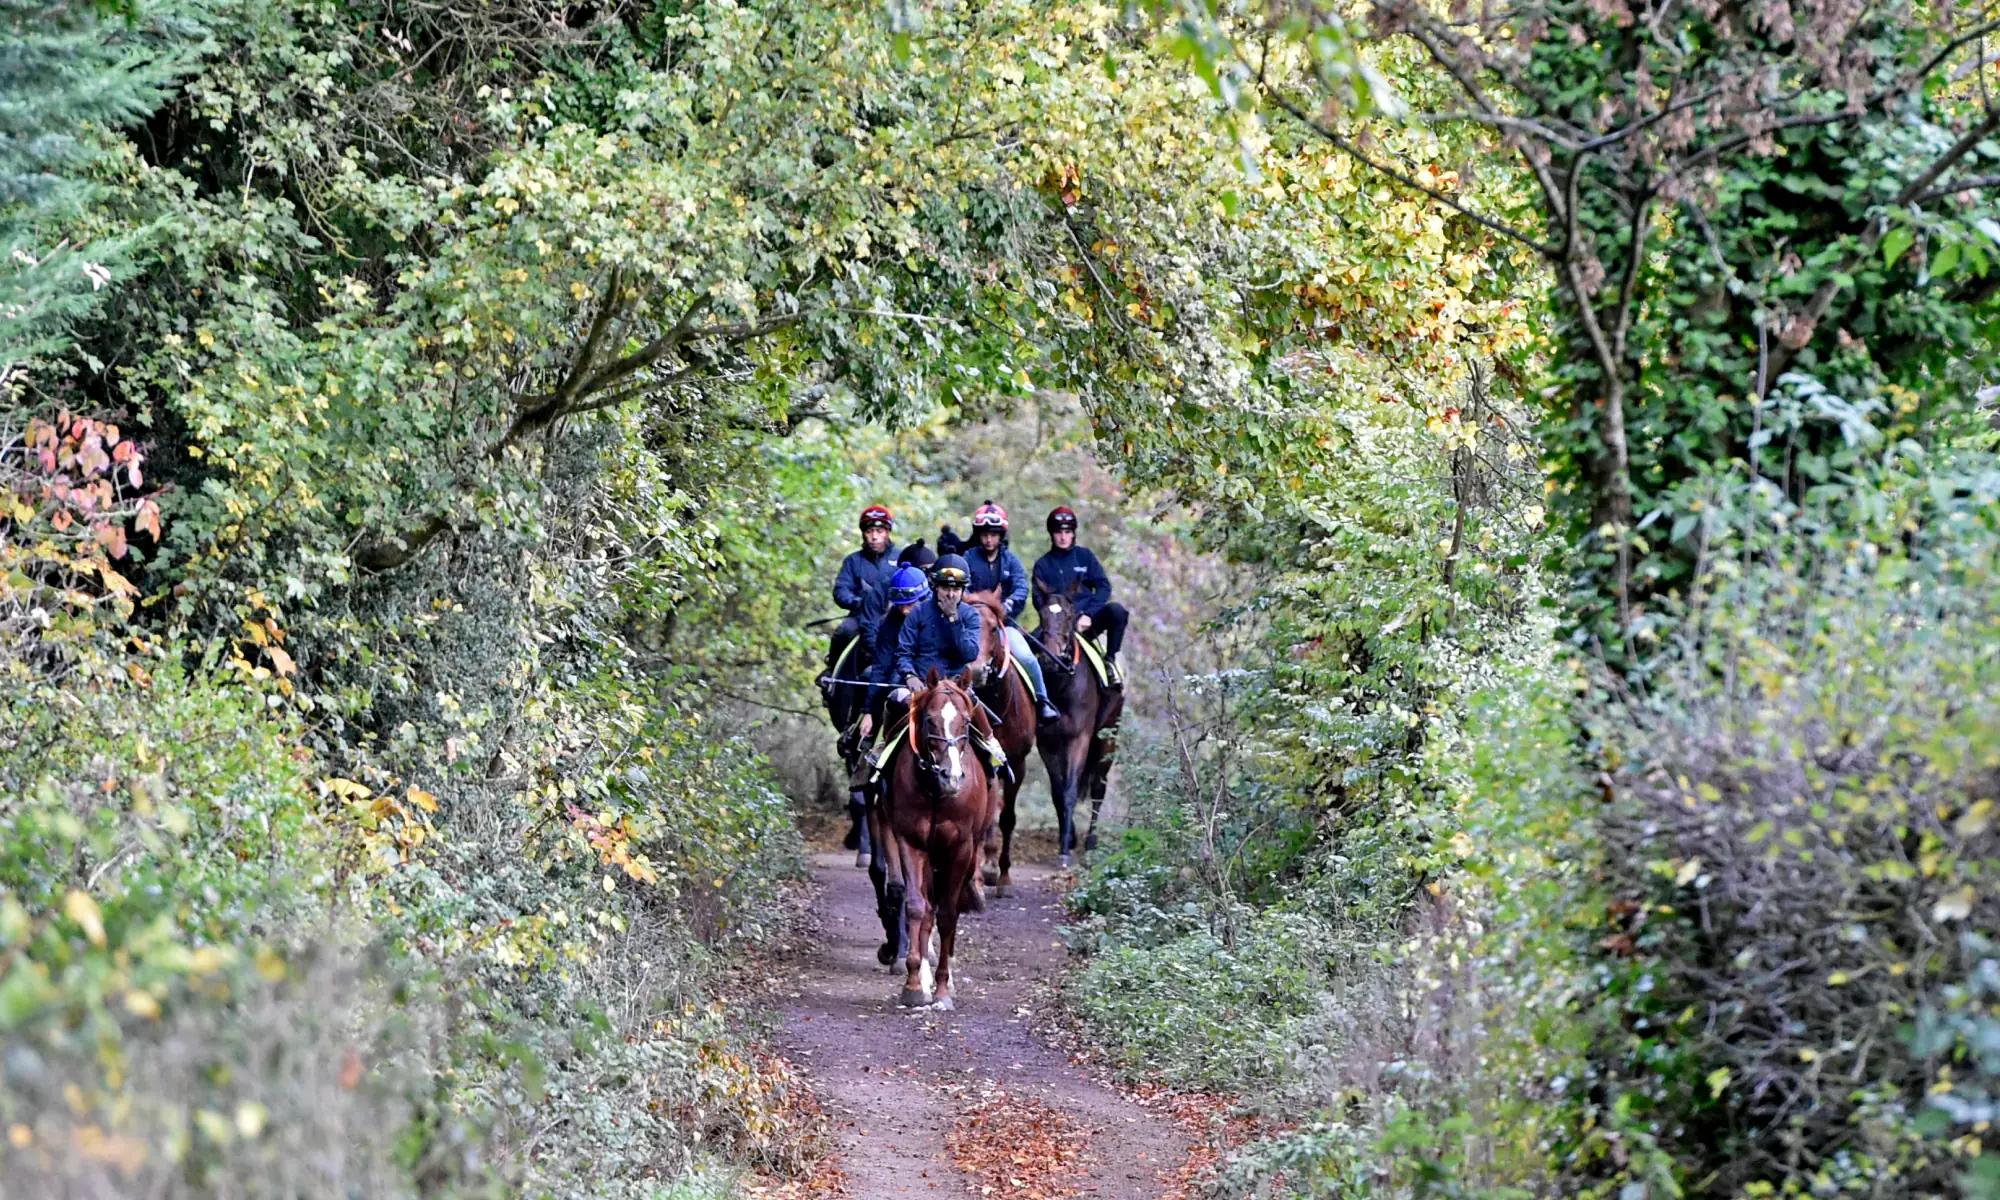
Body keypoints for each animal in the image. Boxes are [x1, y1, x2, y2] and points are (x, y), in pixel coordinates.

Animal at [884, 672, 992, 1008]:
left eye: (966, 721)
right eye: (929, 720)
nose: (951, 776)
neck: (935, 793)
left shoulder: (961, 848)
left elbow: (948, 915)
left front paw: (944, 990)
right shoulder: (912, 842)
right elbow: (918, 908)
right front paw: (914, 984)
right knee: (928, 909)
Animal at [1040, 588, 1120, 864]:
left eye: (1068, 615)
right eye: (1042, 614)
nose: (1051, 658)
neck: (1061, 683)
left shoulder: (1080, 739)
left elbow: (1071, 790)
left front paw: (1065, 850)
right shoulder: (1046, 742)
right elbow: (1058, 791)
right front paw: (1068, 837)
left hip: (1107, 740)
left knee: (1098, 787)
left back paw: (1092, 842)